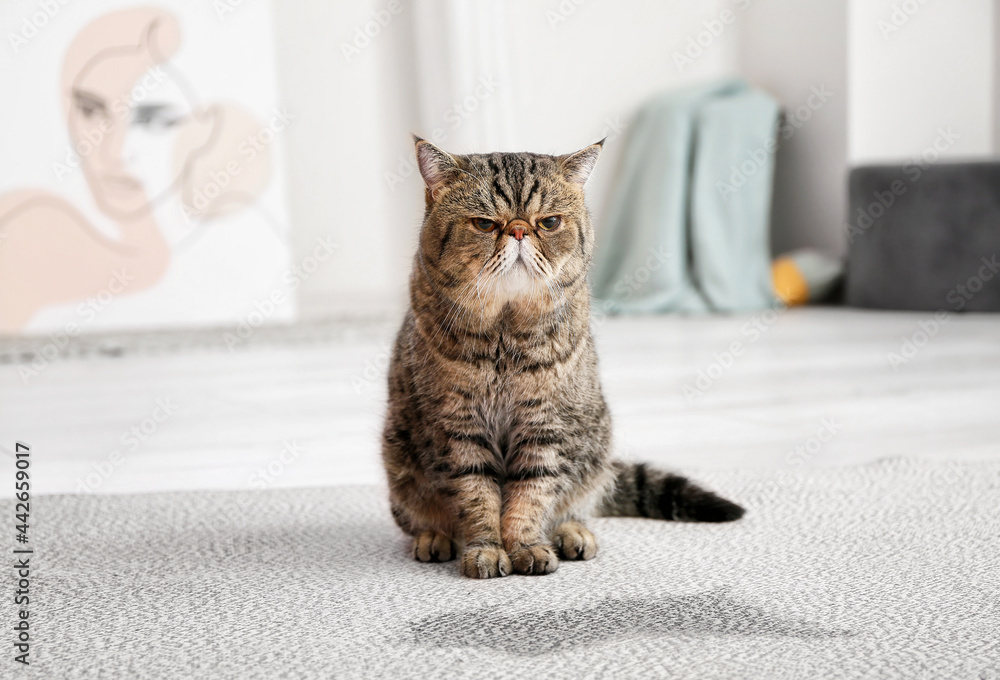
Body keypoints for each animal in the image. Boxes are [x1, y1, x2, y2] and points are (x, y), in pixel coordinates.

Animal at [382, 137, 744, 580]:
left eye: (549, 222)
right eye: (485, 224)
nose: (519, 229)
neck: (505, 335)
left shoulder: (546, 424)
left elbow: (532, 494)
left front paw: (526, 545)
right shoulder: (460, 427)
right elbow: (476, 497)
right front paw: (486, 549)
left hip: (595, 447)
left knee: (577, 503)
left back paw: (573, 533)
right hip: (398, 461)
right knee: (419, 518)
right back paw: (434, 537)